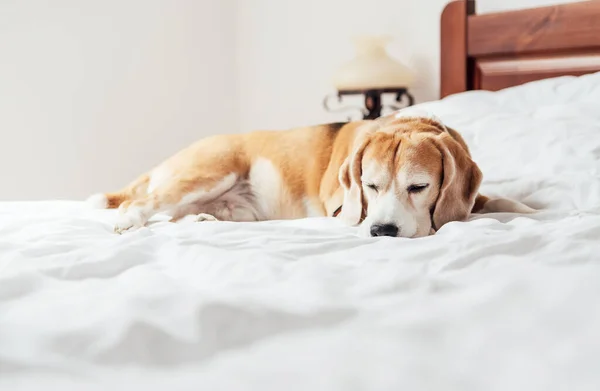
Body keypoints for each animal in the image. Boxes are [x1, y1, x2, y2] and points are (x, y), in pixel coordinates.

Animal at [88, 112, 528, 237]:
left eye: (419, 187)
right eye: (369, 186)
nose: (381, 231)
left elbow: (491, 200)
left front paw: (526, 209)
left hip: (236, 207)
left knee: (176, 216)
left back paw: (201, 220)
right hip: (213, 169)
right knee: (144, 202)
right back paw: (128, 219)